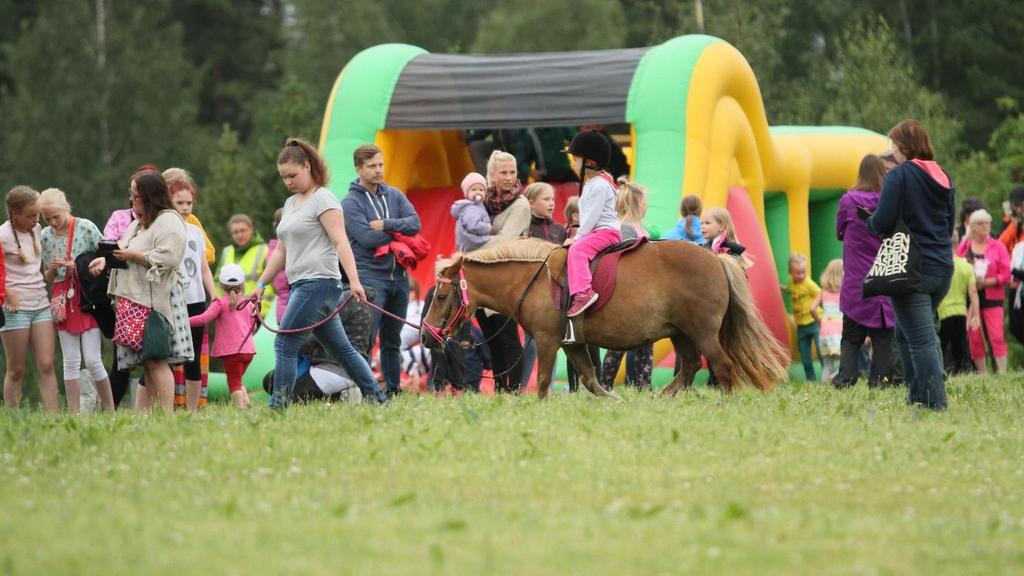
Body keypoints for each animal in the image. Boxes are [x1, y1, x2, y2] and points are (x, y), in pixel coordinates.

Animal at [419, 236, 786, 393]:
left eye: (441, 296)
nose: (426, 335)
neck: (532, 280)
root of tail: (714, 257)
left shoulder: (549, 341)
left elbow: (542, 382)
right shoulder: (573, 345)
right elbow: (592, 381)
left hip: (703, 333)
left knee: (721, 368)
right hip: (681, 333)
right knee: (691, 366)